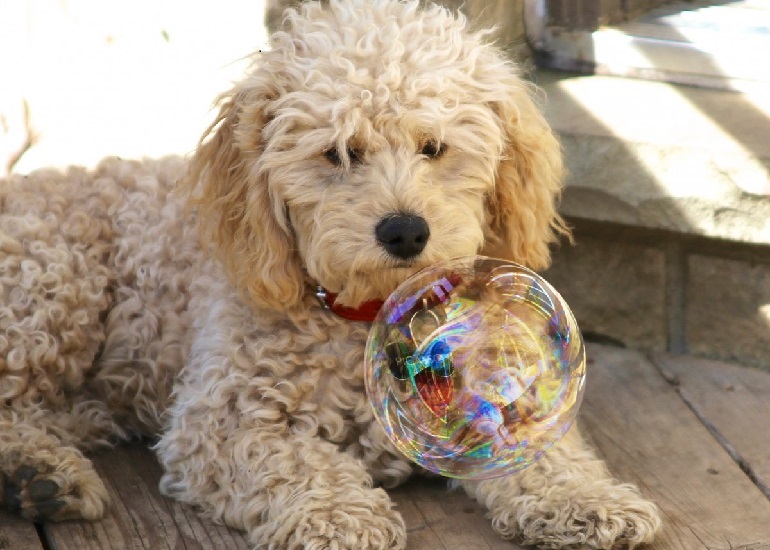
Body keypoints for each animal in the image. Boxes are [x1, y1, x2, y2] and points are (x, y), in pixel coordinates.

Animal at [0, 2, 660, 548]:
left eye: (434, 147)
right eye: (338, 153)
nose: (405, 231)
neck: (373, 316)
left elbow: (547, 455)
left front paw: (588, 500)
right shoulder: (218, 423)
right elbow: (295, 462)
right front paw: (339, 516)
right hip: (54, 286)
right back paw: (39, 473)